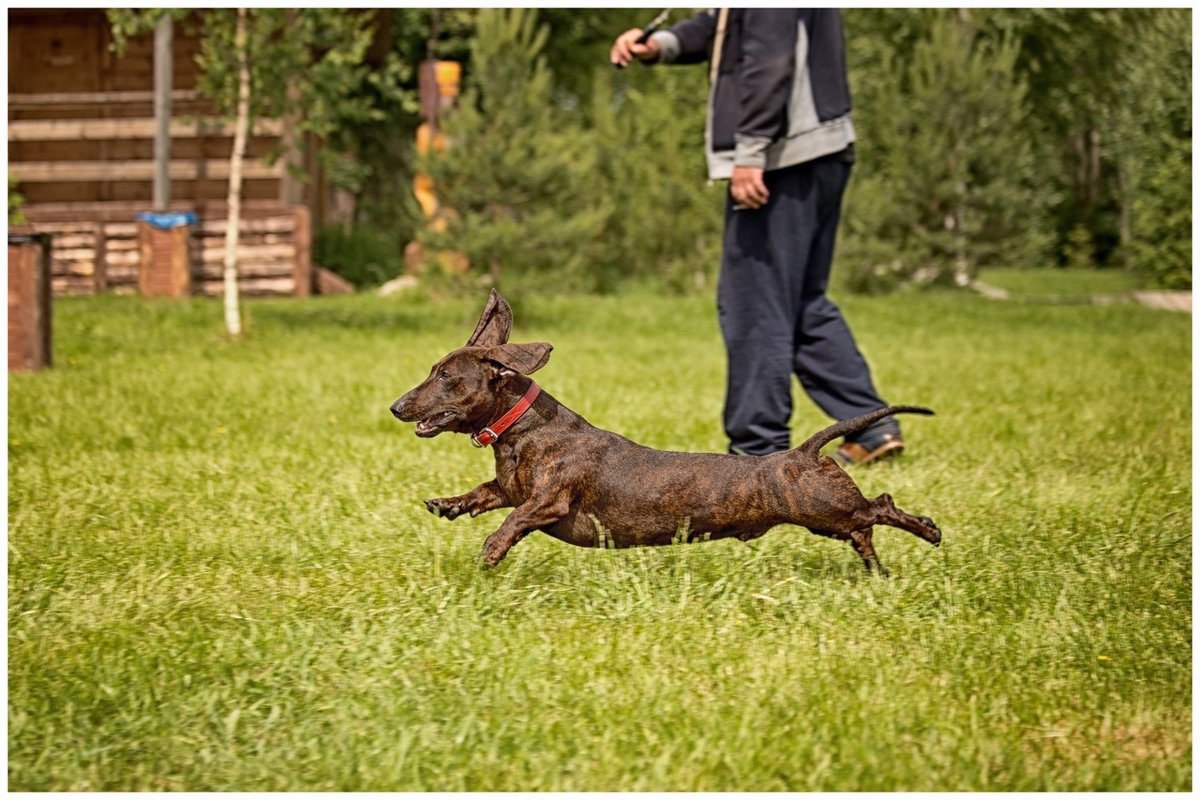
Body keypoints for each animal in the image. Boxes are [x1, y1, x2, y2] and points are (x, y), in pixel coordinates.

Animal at [388, 291, 940, 573]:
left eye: (444, 376)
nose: (396, 406)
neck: (521, 432)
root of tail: (803, 452)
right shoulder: (508, 488)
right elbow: (485, 494)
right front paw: (448, 504)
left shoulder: (549, 500)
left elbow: (515, 519)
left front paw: (493, 549)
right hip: (830, 519)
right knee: (864, 529)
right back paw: (876, 568)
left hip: (824, 508)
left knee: (880, 506)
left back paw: (928, 530)